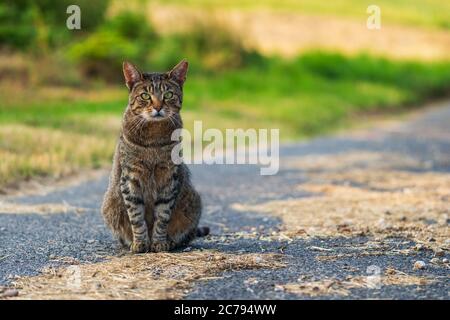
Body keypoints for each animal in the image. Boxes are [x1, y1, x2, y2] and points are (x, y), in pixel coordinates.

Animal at [101, 60, 208, 254]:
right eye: (145, 96)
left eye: (168, 94)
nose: (158, 107)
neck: (153, 137)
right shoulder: (130, 177)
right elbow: (136, 216)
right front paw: (140, 243)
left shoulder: (169, 176)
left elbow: (163, 216)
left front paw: (159, 242)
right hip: (109, 205)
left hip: (194, 201)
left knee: (186, 235)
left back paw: (172, 241)